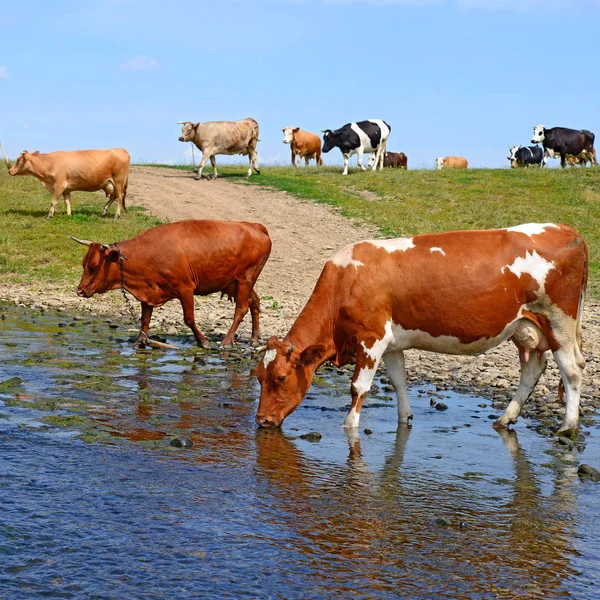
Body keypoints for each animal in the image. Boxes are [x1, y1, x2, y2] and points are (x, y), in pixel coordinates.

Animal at [0, 144, 129, 219]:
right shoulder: (66, 189)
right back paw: (103, 212)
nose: (10, 171)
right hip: (108, 183)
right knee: (113, 196)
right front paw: (69, 214)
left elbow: (53, 201)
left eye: (18, 160)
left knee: (119, 197)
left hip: (118, 181)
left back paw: (116, 215)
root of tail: (122, 150)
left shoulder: (59, 186)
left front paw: (49, 216)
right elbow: (68, 202)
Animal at [71, 220, 274, 346]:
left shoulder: (185, 288)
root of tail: (254, 226)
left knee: (241, 308)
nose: (79, 291)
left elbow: (189, 318)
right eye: (83, 263)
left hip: (245, 279)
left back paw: (227, 340)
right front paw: (139, 341)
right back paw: (255, 337)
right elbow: (145, 319)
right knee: (254, 302)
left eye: (94, 266)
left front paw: (203, 341)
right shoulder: (149, 292)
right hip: (236, 283)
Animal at [255, 223, 588, 438]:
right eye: (257, 376)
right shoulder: (392, 344)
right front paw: (405, 418)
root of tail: (567, 230)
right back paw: (506, 418)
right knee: (533, 369)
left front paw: (349, 425)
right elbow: (399, 382)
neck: (346, 280)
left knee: (571, 370)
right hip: (525, 326)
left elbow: (359, 387)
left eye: (280, 377)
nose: (261, 421)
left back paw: (568, 426)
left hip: (559, 321)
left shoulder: (371, 339)